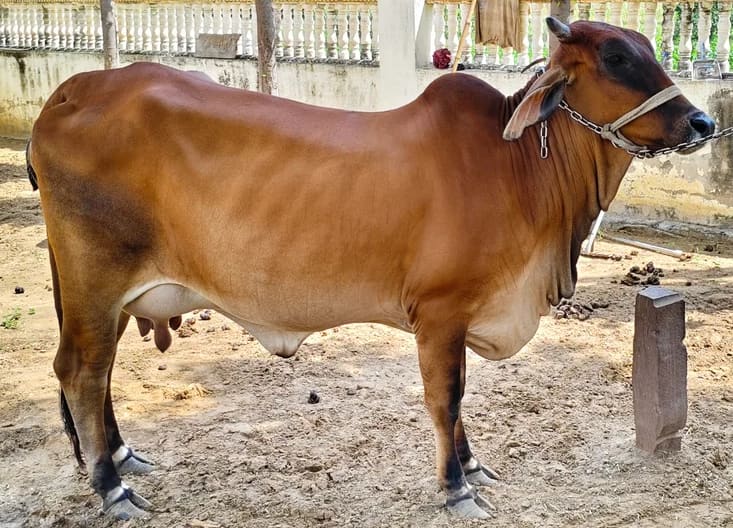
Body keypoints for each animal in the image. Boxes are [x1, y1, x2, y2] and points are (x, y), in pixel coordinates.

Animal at [27, 17, 714, 520]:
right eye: (616, 57)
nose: (702, 121)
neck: (519, 168)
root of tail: (72, 91)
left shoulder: (459, 317)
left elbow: (458, 402)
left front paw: (472, 466)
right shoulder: (440, 313)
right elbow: (446, 398)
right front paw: (456, 488)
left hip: (111, 295)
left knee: (98, 372)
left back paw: (122, 457)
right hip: (95, 280)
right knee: (80, 372)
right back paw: (112, 488)